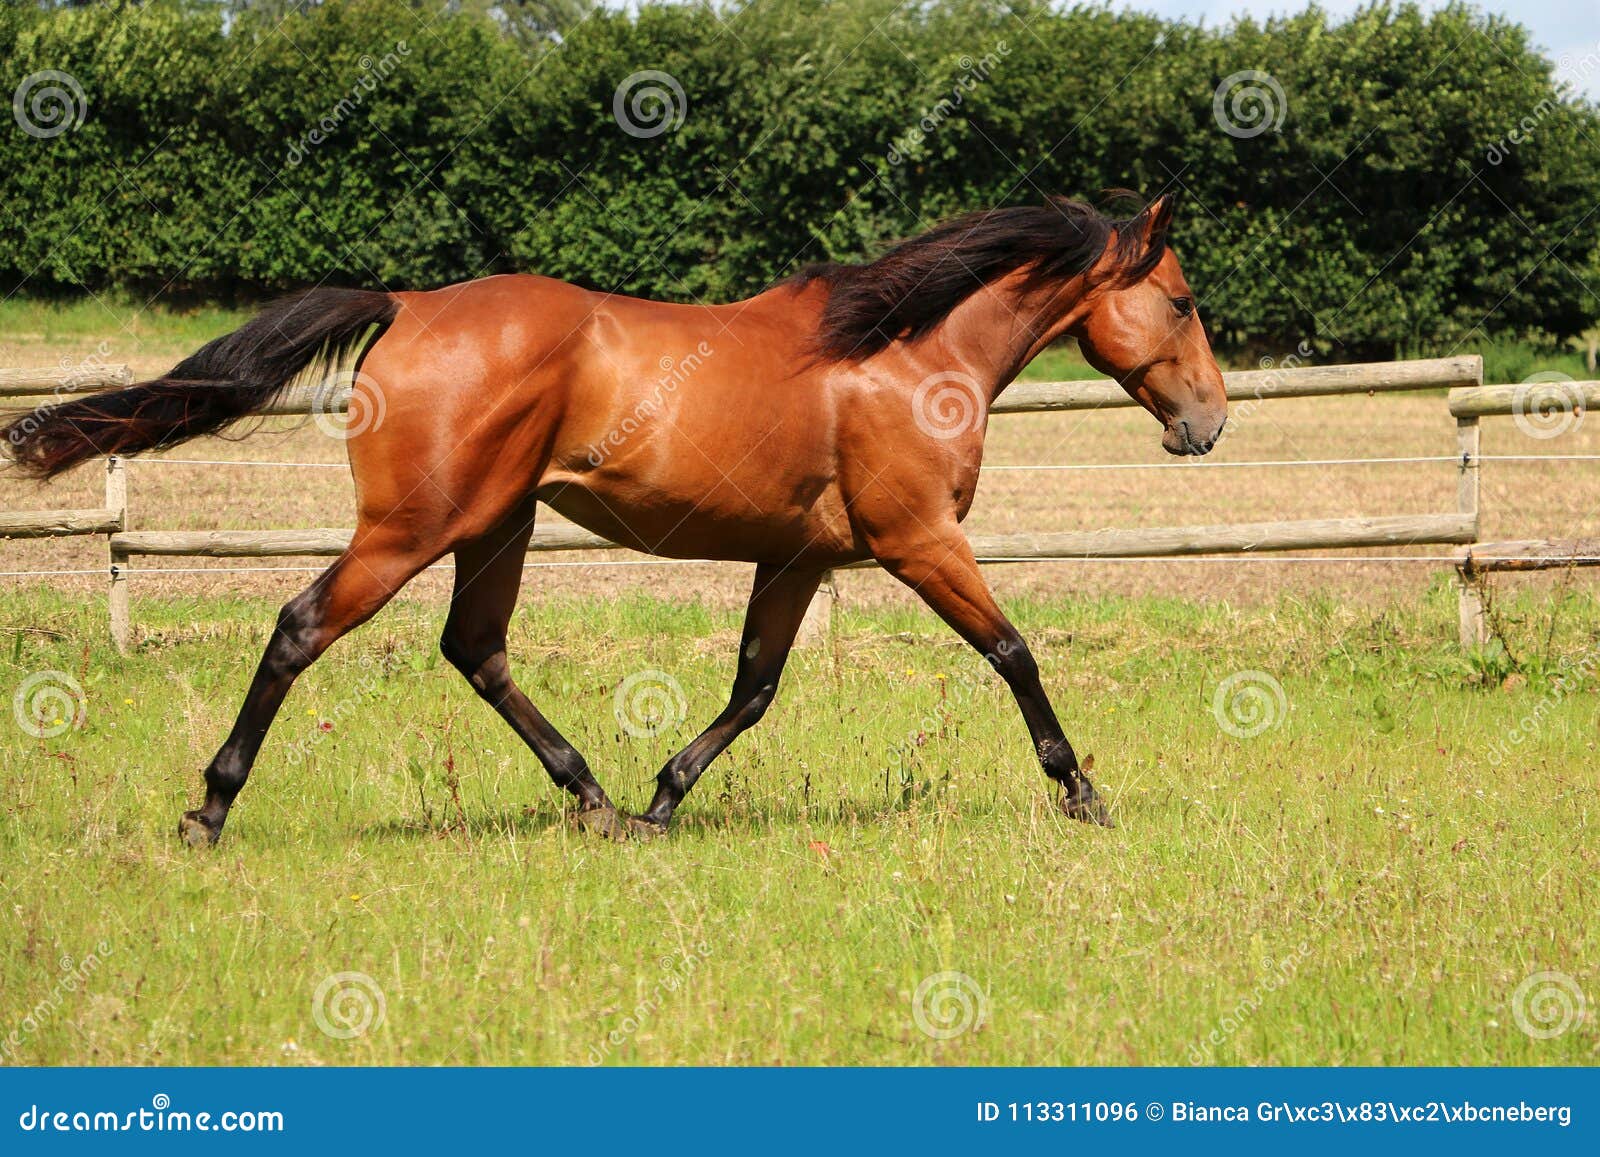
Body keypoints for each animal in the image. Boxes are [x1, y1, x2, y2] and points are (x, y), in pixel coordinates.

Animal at [3, 194, 1222, 844]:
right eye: (1180, 300)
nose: (1206, 423)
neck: (907, 354)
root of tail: (408, 305)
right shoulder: (918, 541)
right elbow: (1014, 651)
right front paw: (1082, 790)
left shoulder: (796, 559)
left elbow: (754, 688)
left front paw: (662, 801)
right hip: (411, 529)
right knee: (302, 628)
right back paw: (208, 811)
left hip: (495, 527)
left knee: (477, 649)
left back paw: (592, 797)